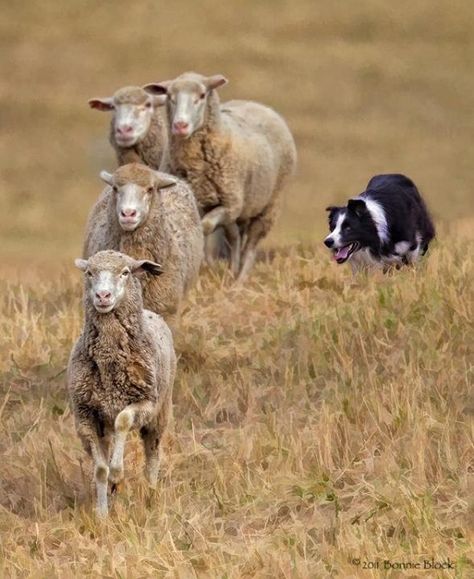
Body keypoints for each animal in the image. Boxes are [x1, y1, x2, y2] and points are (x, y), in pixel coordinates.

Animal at [67, 249, 177, 516]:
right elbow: (100, 470)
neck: (109, 363)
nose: (102, 296)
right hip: (103, 424)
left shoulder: (145, 403)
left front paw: (118, 475)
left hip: (160, 414)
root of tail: (152, 313)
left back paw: (151, 495)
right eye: (89, 272)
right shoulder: (85, 416)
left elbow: (124, 421)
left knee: (152, 456)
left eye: (125, 272)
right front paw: (102, 513)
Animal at [143, 72, 296, 280]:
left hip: (268, 206)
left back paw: (240, 280)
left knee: (251, 245)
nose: (180, 125)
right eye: (169, 97)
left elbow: (206, 226)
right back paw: (232, 270)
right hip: (240, 208)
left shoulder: (231, 204)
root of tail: (260, 106)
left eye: (201, 95)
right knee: (234, 237)